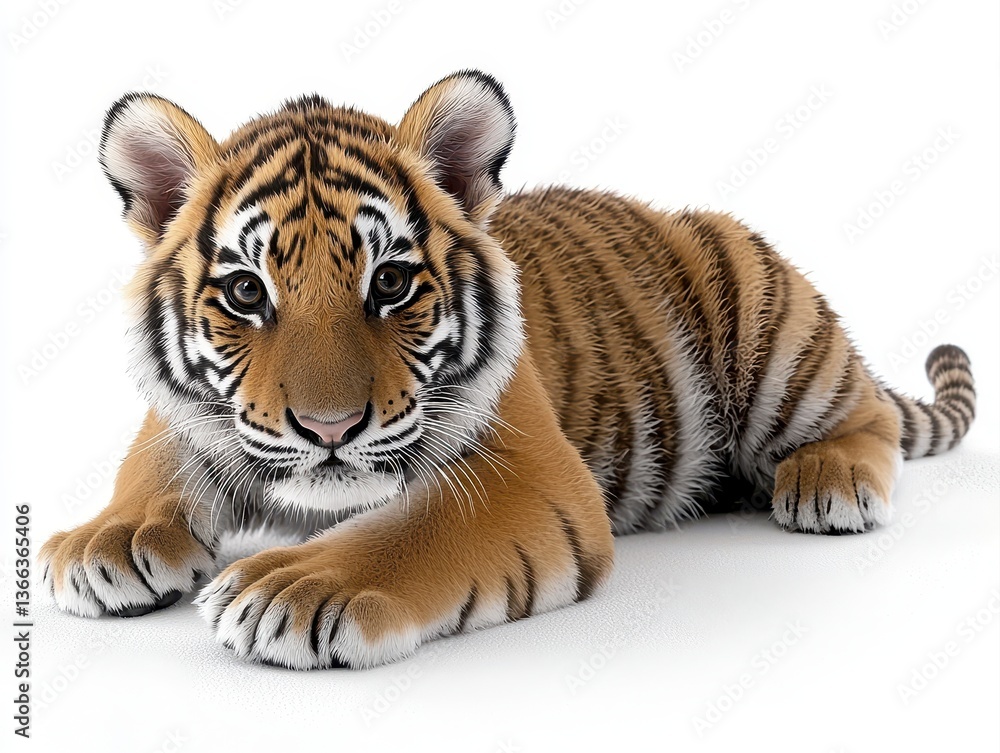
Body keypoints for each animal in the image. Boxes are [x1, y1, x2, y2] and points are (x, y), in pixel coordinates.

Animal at [40, 70, 977, 669]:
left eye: (390, 282)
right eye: (245, 291)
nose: (330, 428)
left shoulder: (530, 474)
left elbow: (412, 529)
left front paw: (292, 586)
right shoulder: (187, 417)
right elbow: (152, 456)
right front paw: (101, 539)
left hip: (769, 317)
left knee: (868, 416)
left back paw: (824, 481)